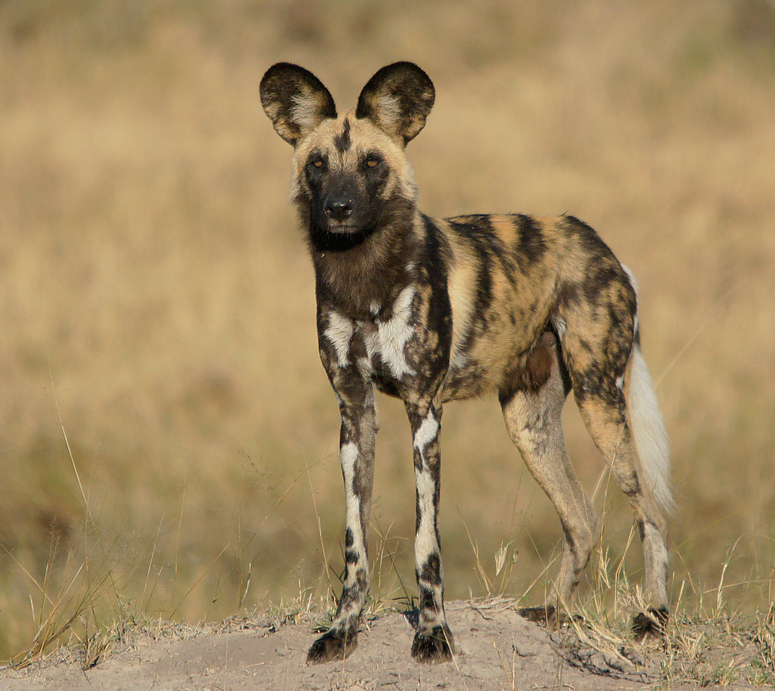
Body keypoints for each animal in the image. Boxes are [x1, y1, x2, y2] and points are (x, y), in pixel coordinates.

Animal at [260, 63, 672, 664]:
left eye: (372, 163)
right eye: (317, 165)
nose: (338, 209)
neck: (364, 279)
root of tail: (600, 244)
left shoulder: (424, 412)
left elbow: (425, 541)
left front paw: (433, 633)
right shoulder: (354, 414)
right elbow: (355, 542)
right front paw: (342, 631)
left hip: (602, 403)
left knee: (650, 514)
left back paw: (655, 617)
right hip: (529, 425)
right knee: (581, 520)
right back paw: (553, 614)